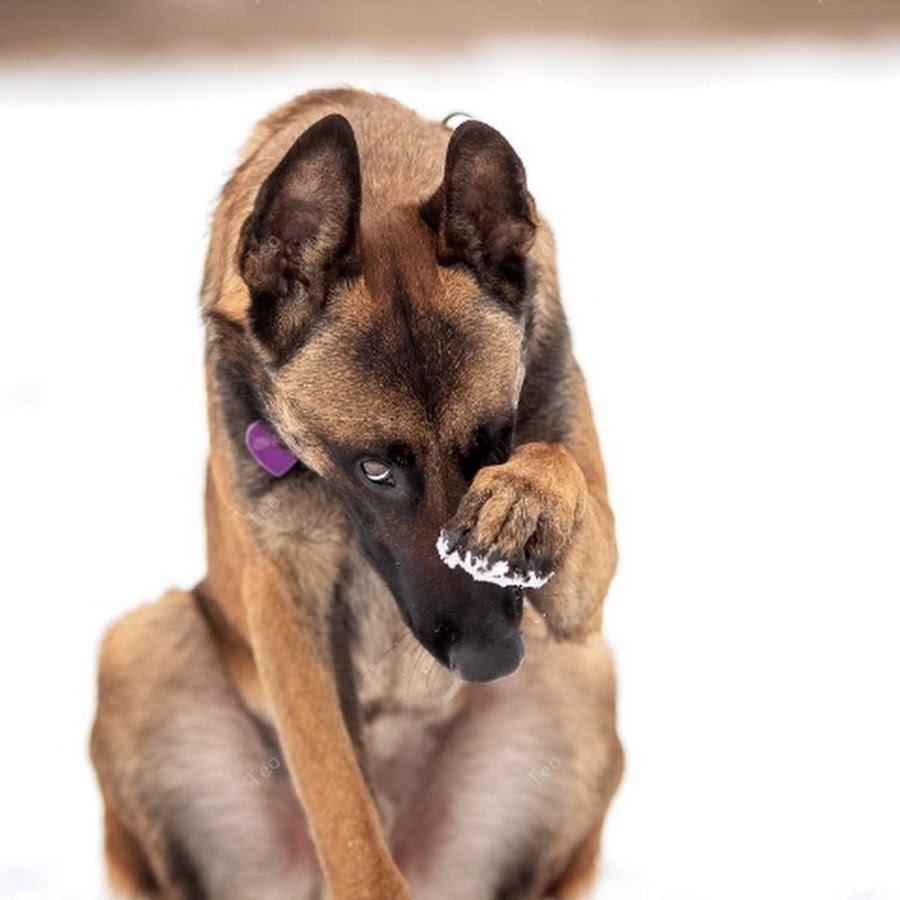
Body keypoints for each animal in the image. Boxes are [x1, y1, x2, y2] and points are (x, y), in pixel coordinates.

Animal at [91, 86, 624, 900]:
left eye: (494, 444)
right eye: (375, 470)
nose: (492, 660)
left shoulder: (582, 603)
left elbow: (556, 462)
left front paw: (521, 501)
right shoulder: (288, 602)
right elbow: (345, 817)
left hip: (581, 672)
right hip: (140, 639)